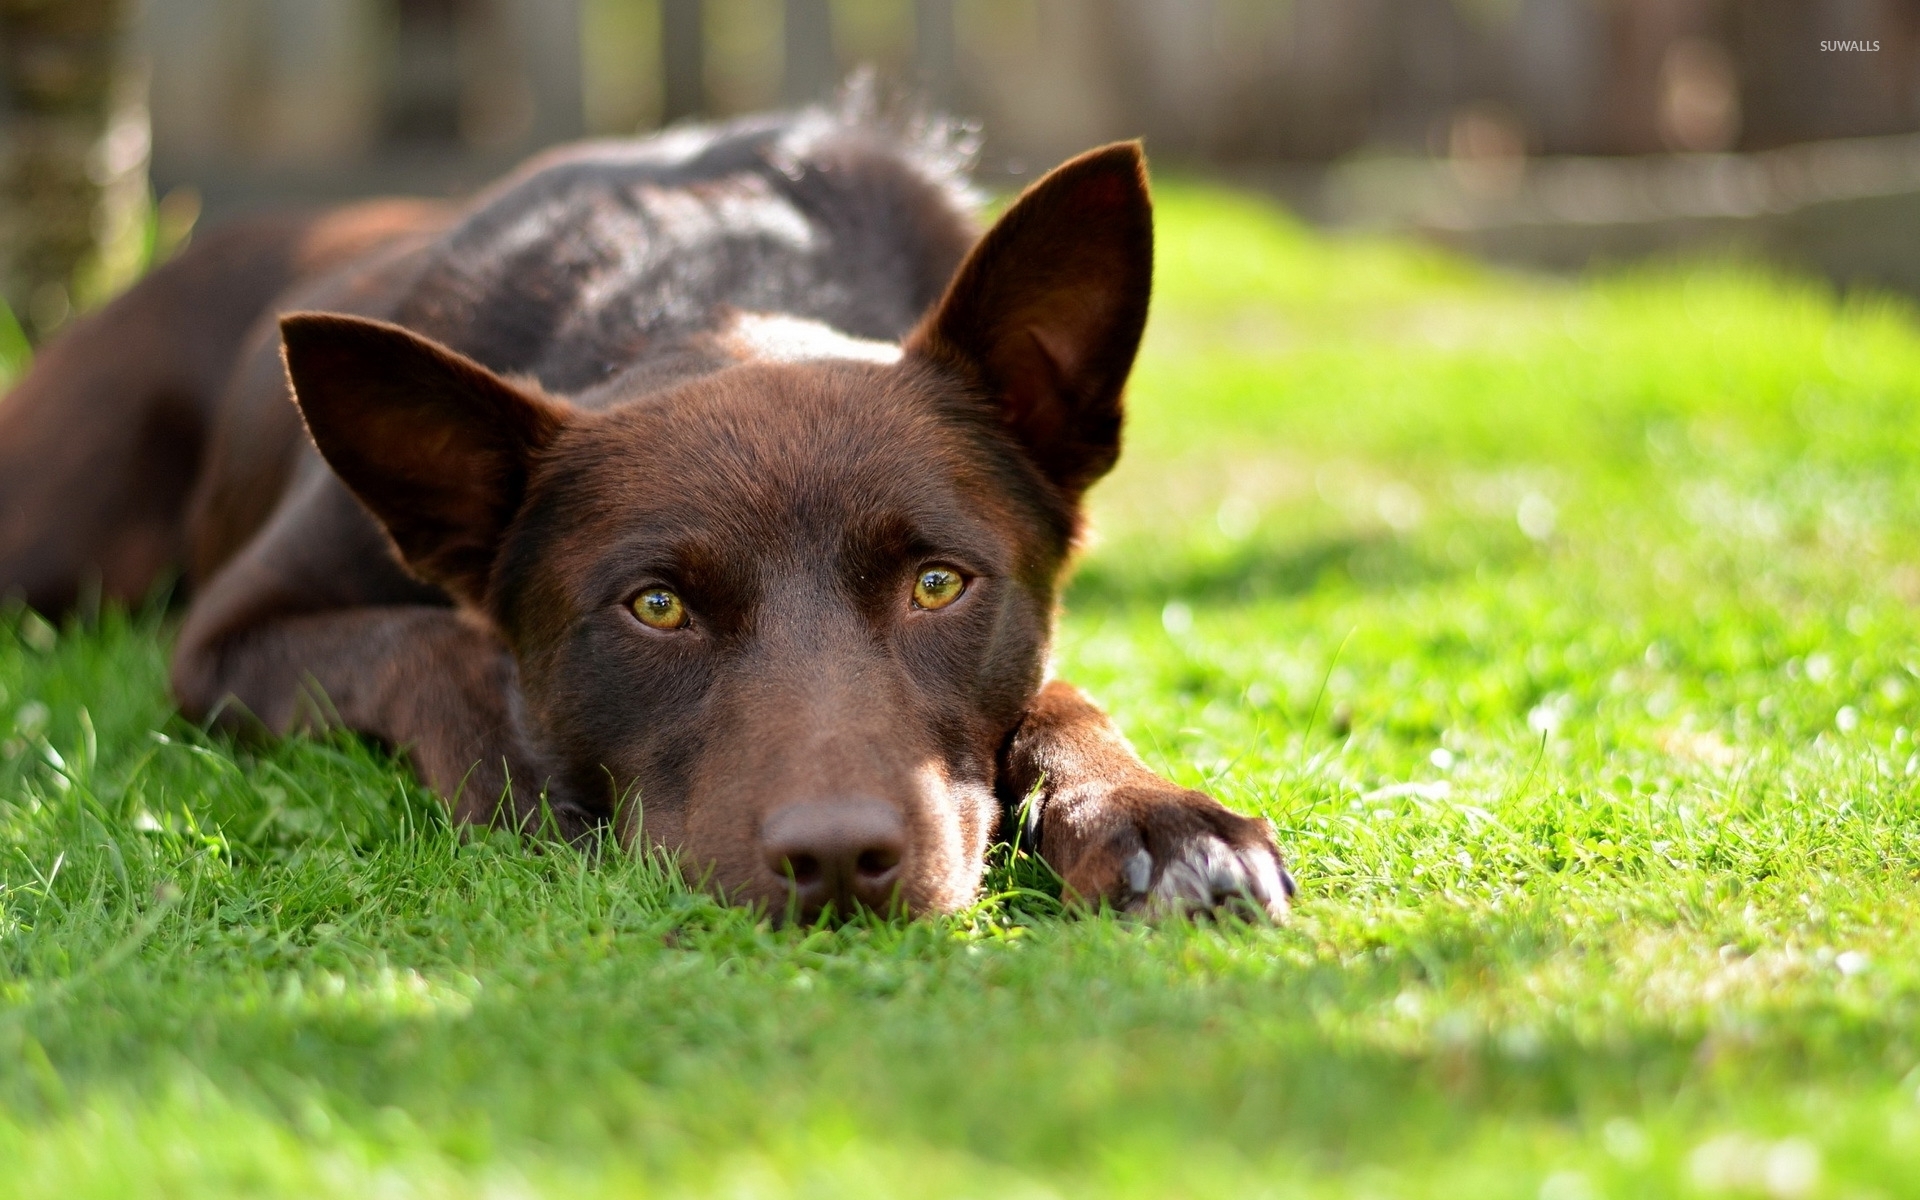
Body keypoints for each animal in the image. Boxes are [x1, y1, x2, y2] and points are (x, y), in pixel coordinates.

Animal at [0, 107, 1297, 921]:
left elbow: (1061, 696)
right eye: (657, 607)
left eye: (938, 584)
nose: (840, 860)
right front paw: (517, 763)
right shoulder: (226, 642)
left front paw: (1156, 817)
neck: (708, 285)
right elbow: (421, 643)